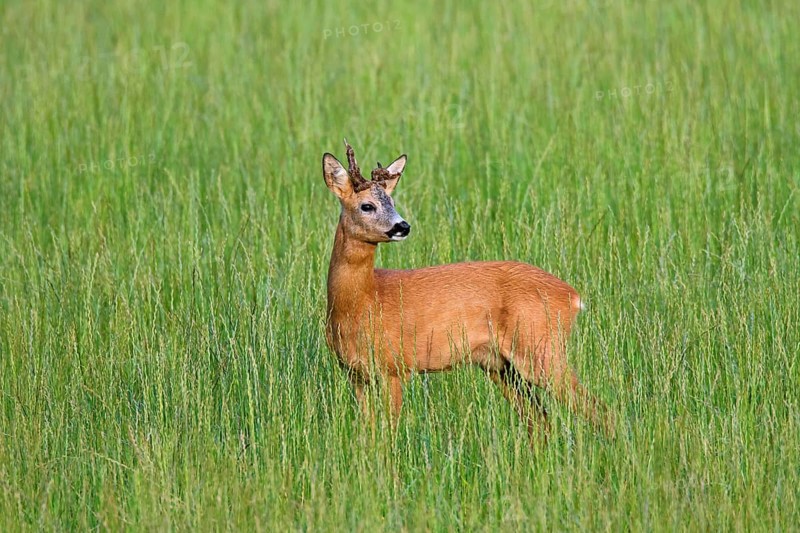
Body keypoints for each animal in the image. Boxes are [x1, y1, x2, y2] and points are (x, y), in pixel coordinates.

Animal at [322, 141, 614, 443]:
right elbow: (368, 433)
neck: (362, 302)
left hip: (542, 349)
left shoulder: (394, 367)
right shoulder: (355, 374)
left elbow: (388, 434)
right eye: (367, 205)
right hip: (500, 366)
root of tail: (573, 297)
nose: (403, 226)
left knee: (600, 410)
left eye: (392, 201)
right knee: (540, 420)